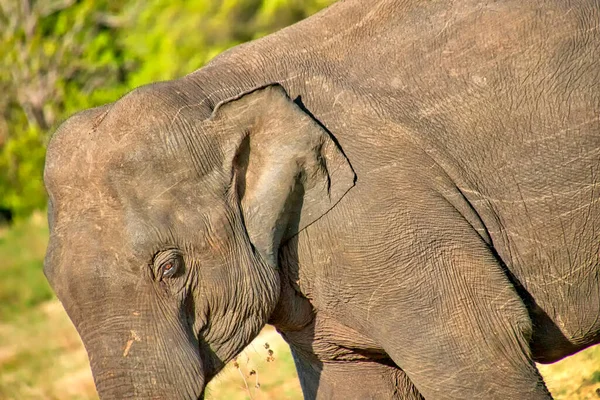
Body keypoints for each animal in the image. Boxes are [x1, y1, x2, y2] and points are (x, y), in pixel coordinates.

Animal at [44, 0, 600, 398]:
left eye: (170, 267)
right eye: (53, 279)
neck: (206, 91)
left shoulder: (382, 218)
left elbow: (481, 354)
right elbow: (354, 380)